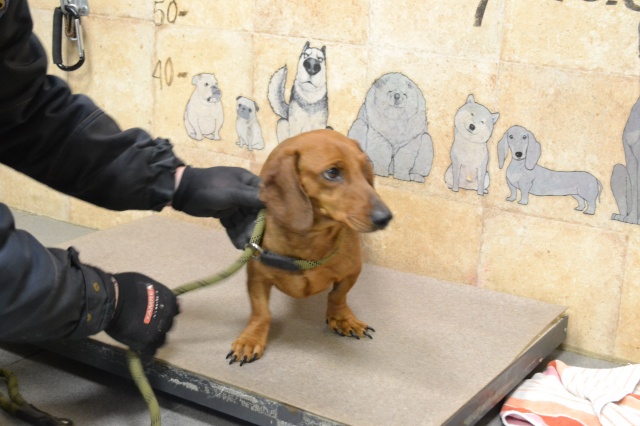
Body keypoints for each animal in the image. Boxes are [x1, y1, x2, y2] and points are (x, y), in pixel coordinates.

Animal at [226, 129, 393, 366]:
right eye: (332, 173)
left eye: (366, 167)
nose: (385, 218)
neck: (310, 241)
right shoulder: (257, 278)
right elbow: (261, 312)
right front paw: (250, 339)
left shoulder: (351, 272)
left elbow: (338, 296)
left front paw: (342, 318)